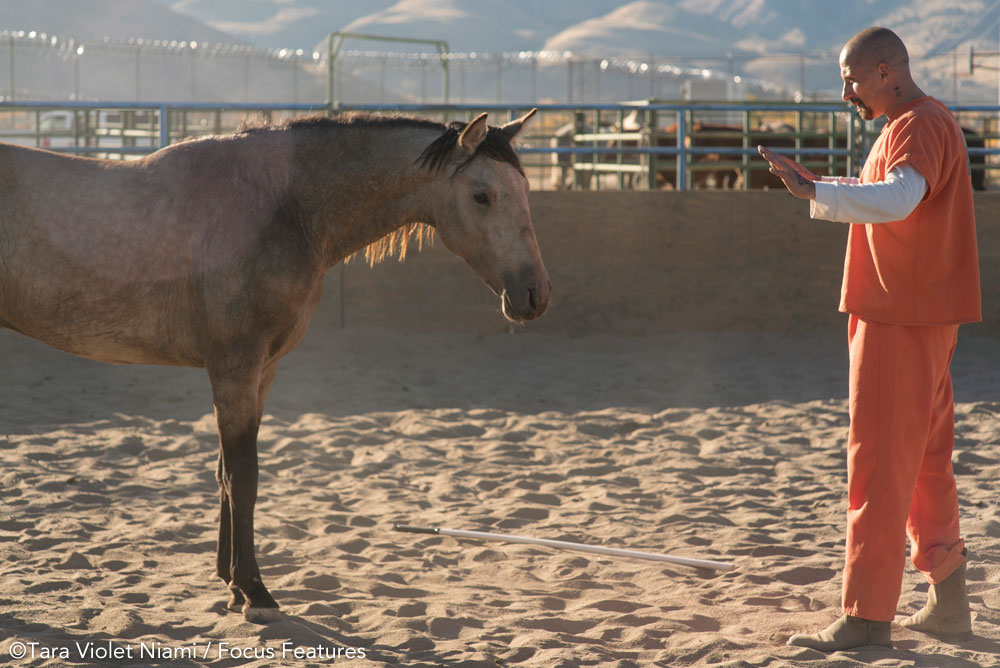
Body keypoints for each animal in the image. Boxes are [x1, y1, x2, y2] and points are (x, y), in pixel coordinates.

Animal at [0, 108, 552, 620]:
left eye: (526, 190)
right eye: (482, 195)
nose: (535, 295)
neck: (280, 209)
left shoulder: (262, 370)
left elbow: (226, 472)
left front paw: (229, 581)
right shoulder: (235, 367)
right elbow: (243, 475)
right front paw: (254, 590)